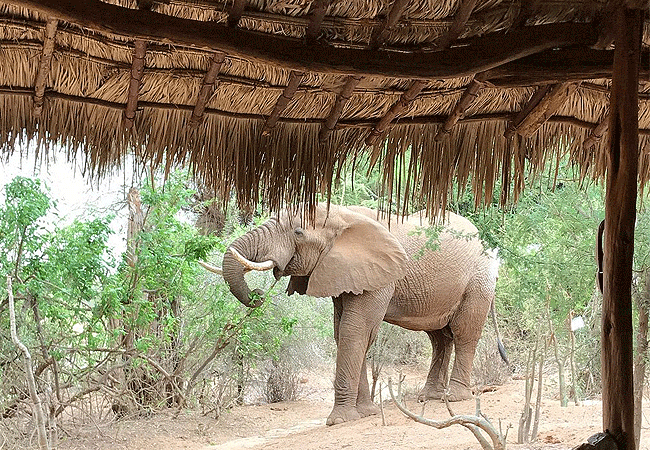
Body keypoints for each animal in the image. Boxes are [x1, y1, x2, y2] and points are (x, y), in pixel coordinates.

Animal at [211, 204, 505, 426]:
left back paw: (454, 398)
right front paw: (365, 413)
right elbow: (344, 330)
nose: (258, 294)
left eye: (298, 232)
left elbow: (355, 329)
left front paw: (339, 420)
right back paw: (428, 397)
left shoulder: (380, 275)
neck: (341, 215)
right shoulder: (343, 271)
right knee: (439, 338)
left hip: (478, 281)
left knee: (464, 333)